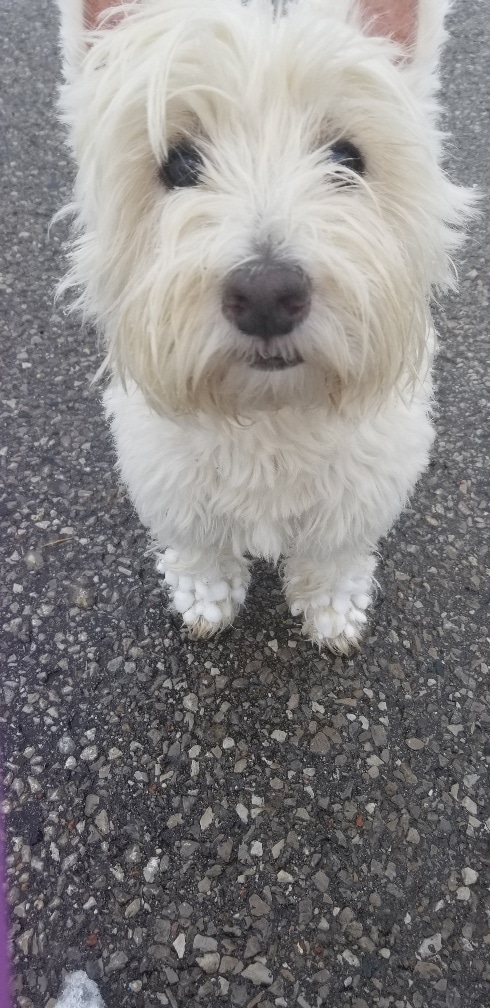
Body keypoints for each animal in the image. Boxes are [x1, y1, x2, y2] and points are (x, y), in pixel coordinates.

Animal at [55, 0, 469, 653]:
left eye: (347, 159)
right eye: (179, 163)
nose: (268, 295)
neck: (270, 415)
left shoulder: (363, 486)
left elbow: (333, 549)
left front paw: (332, 610)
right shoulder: (170, 477)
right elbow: (201, 544)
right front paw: (206, 598)